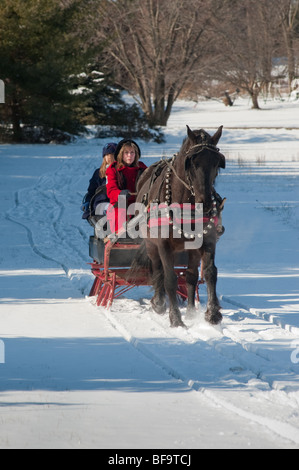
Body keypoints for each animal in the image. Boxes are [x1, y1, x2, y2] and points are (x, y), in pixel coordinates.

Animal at [131, 126, 225, 328]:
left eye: (216, 163)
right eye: (192, 163)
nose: (206, 203)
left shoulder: (207, 240)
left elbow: (210, 272)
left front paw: (213, 313)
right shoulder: (164, 245)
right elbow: (170, 279)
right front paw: (175, 318)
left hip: (191, 248)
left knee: (191, 275)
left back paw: (190, 311)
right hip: (151, 244)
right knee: (157, 270)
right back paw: (159, 303)